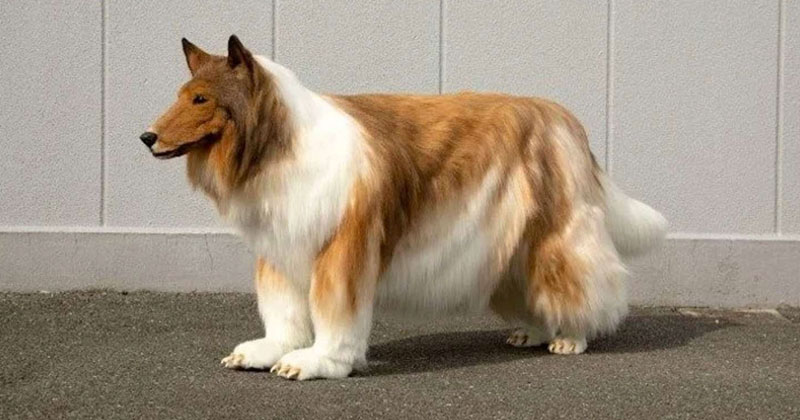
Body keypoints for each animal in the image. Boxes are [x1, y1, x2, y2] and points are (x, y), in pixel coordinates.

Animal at [140, 35, 667, 380]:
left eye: (201, 98)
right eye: (181, 95)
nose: (146, 137)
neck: (279, 144)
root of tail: (563, 117)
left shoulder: (341, 247)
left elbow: (334, 315)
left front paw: (319, 362)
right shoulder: (283, 249)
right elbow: (284, 314)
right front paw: (268, 352)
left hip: (553, 233)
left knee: (583, 282)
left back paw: (571, 337)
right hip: (502, 244)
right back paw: (532, 333)